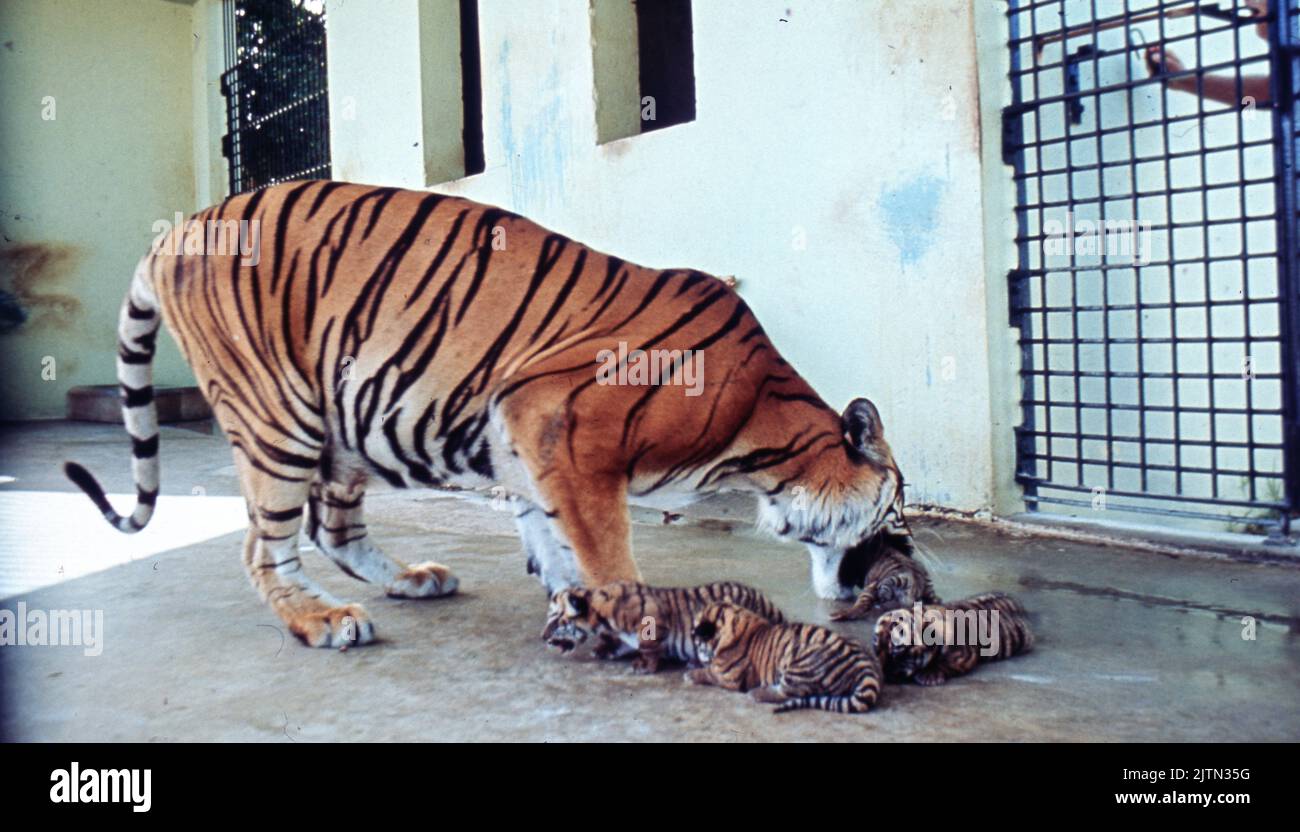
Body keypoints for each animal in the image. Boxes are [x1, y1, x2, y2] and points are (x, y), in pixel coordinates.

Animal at [63, 180, 910, 648]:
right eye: (896, 515)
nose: (900, 570)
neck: (765, 434)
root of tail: (175, 230)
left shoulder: (528, 440)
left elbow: (554, 537)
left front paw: (574, 604)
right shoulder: (564, 423)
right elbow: (605, 547)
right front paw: (641, 616)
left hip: (340, 421)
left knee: (331, 527)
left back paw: (412, 579)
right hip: (279, 415)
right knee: (264, 547)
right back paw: (324, 622)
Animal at [541, 580, 786, 674]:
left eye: (555, 620)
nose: (543, 638)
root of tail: (766, 602)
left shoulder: (652, 623)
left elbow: (648, 647)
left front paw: (643, 666)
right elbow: (622, 643)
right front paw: (604, 649)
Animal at [687, 601, 882, 714]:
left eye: (696, 637)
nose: (691, 636)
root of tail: (861, 665)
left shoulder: (729, 676)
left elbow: (709, 672)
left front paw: (691, 673)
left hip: (800, 664)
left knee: (789, 692)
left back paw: (757, 693)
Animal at [872, 592, 1033, 686]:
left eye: (898, 655)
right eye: (877, 651)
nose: (883, 672)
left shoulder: (965, 656)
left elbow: (946, 663)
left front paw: (929, 675)